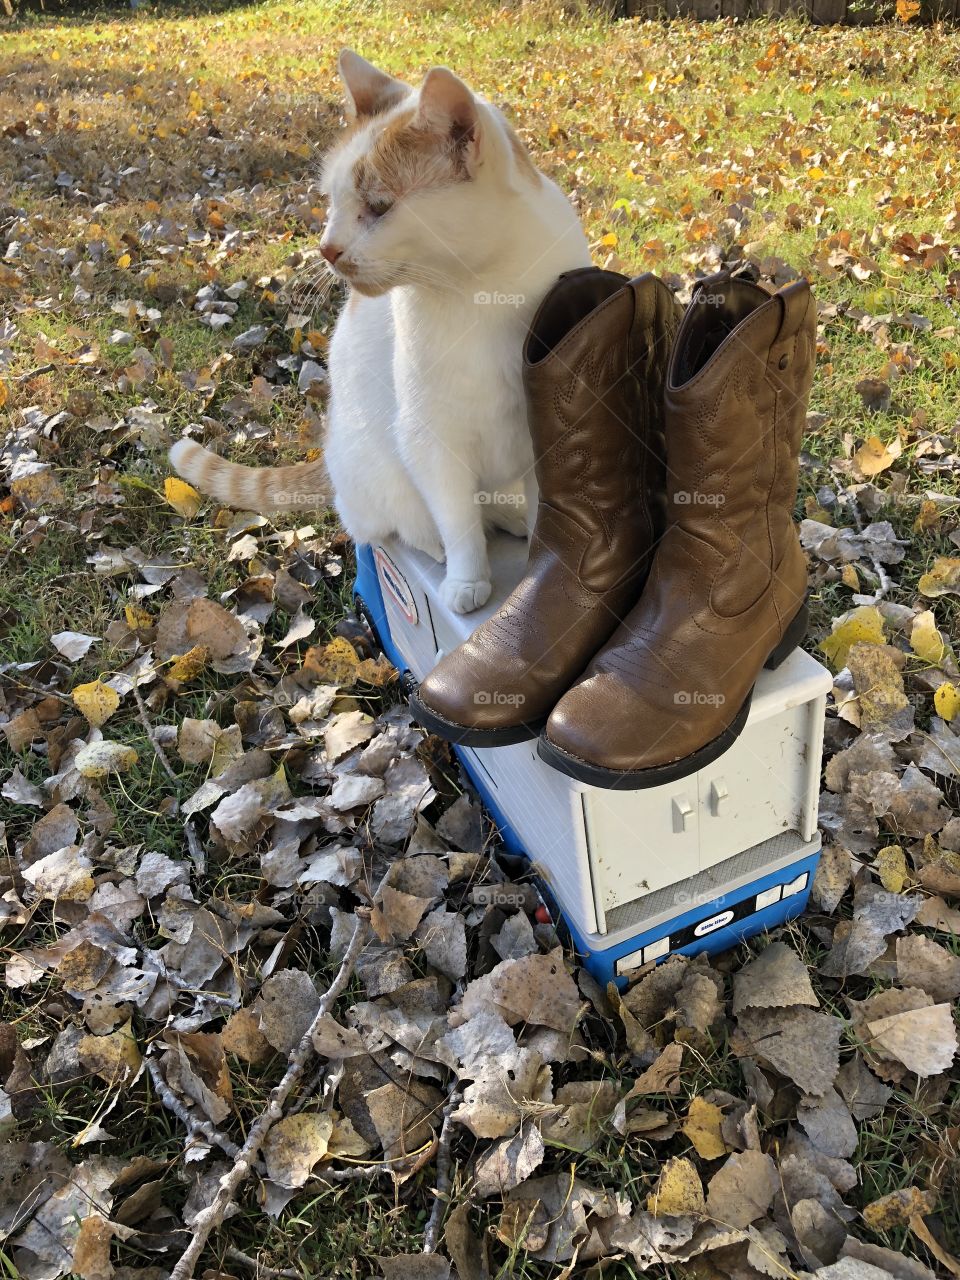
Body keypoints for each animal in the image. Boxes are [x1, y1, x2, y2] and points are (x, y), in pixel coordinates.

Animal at [172, 56, 593, 619]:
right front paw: (467, 578)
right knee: (406, 526)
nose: (327, 249)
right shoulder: (429, 442)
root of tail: (329, 453)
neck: (484, 292)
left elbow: (543, 511)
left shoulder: (536, 442)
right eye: (331, 202)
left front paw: (535, 564)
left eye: (377, 206)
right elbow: (458, 522)